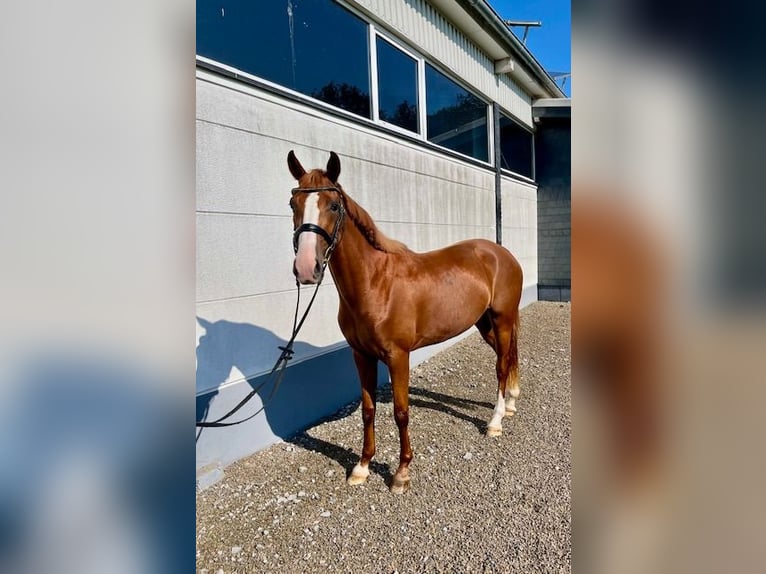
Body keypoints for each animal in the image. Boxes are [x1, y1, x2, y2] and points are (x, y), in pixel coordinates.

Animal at [292, 151, 524, 492]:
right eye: (293, 203)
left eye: (333, 206)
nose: (307, 268)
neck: (375, 283)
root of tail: (503, 254)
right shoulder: (361, 355)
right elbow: (368, 410)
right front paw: (362, 467)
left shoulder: (398, 356)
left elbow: (401, 412)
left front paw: (401, 473)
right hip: (484, 323)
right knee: (506, 357)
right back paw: (509, 405)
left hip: (502, 319)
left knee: (501, 365)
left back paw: (495, 421)